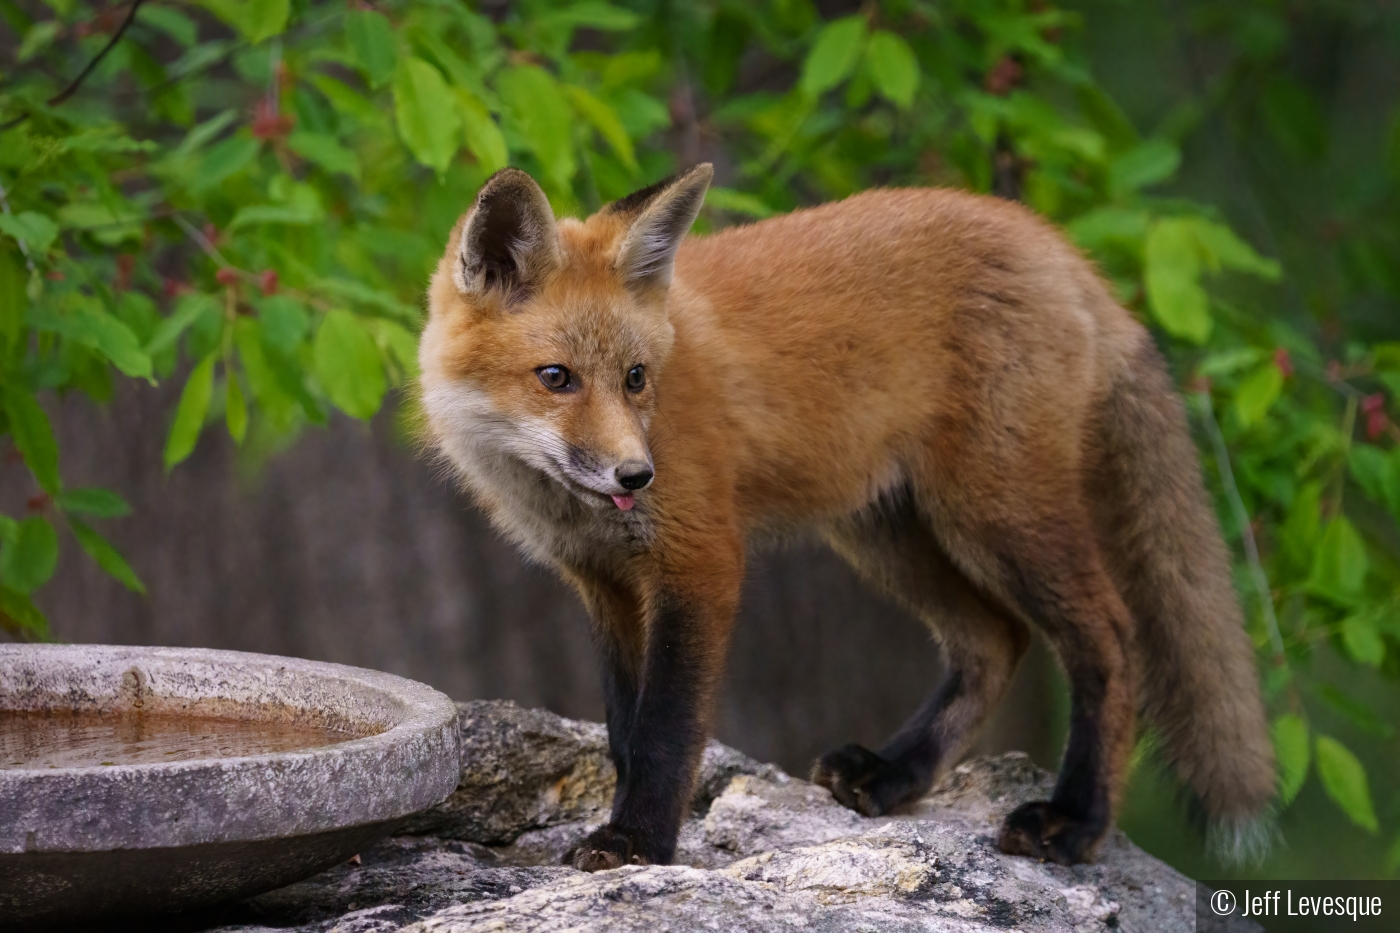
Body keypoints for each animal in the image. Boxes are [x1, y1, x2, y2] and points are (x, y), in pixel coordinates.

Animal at [417, 163, 1282, 868]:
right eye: (555, 377)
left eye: (634, 377)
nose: (638, 473)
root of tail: (1059, 247)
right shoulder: (603, 582)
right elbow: (625, 734)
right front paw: (627, 826)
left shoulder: (700, 560)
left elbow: (664, 730)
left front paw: (637, 841)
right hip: (884, 532)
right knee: (995, 639)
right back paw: (899, 773)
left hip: (994, 515)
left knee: (1109, 634)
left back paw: (1076, 820)